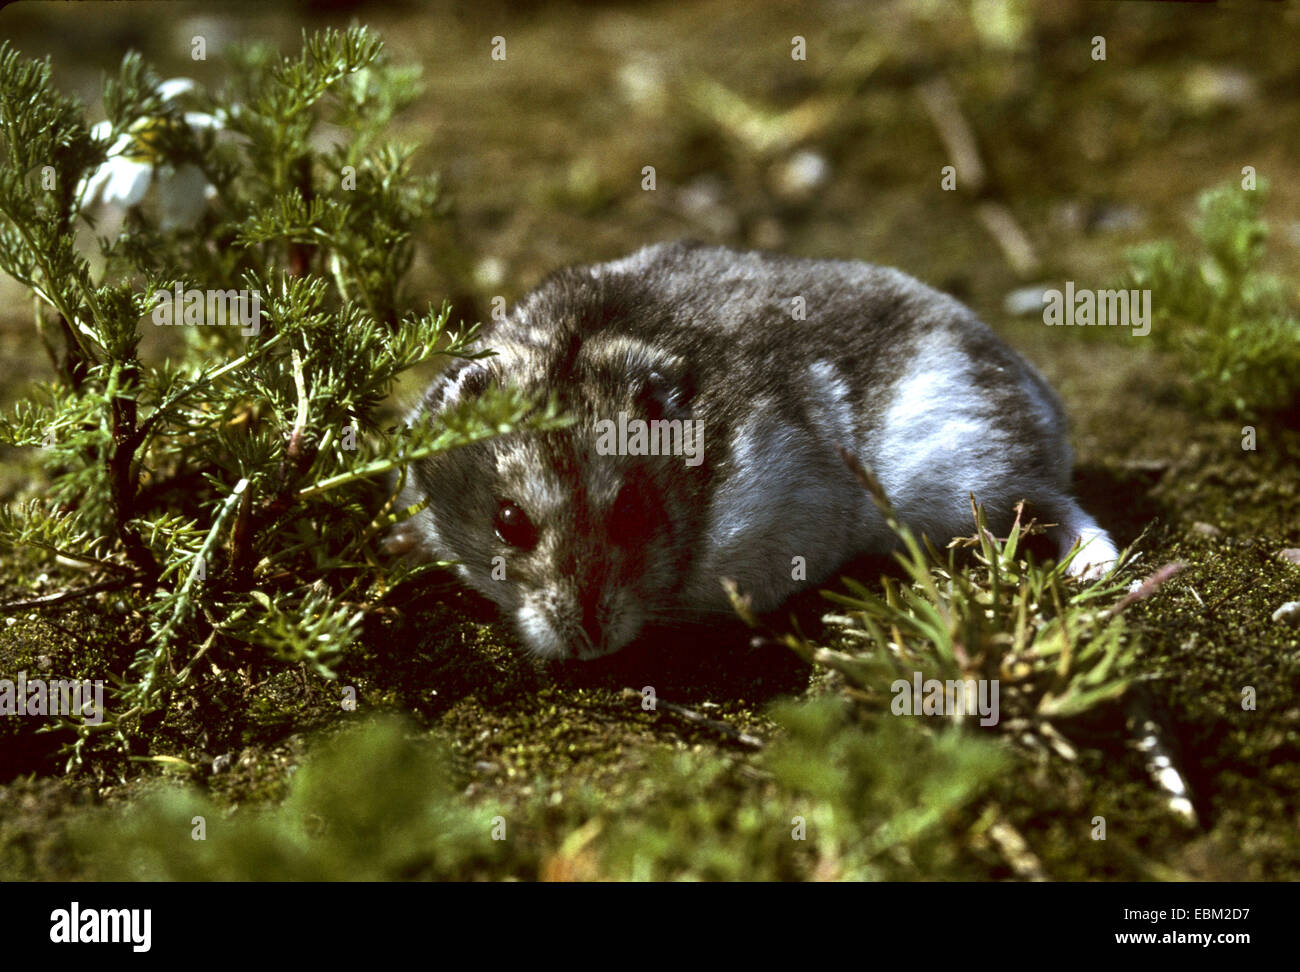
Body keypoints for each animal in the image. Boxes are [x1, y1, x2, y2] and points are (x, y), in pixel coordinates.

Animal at [384, 241, 1118, 660]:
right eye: (508, 521)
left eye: (633, 513)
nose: (590, 643)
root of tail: (1045, 404)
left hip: (961, 473)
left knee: (1057, 505)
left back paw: (1094, 568)